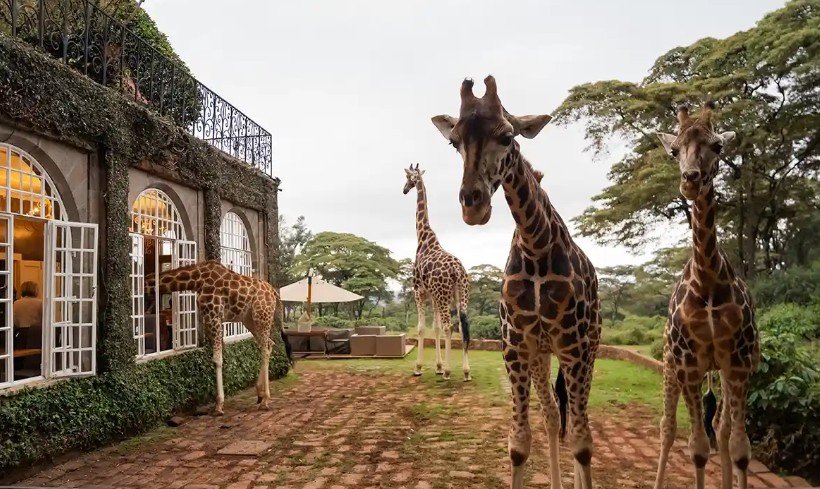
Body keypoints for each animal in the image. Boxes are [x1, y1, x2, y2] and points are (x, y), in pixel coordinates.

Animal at [145, 260, 291, 416]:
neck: (197, 280)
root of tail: (274, 293)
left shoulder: (213, 315)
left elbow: (217, 360)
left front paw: (219, 405)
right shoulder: (209, 317)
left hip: (262, 316)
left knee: (265, 347)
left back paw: (265, 400)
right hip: (249, 319)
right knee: (269, 344)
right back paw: (260, 394)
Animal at [403, 163, 472, 381]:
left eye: (408, 177)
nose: (404, 190)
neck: (423, 238)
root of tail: (457, 271)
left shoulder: (419, 291)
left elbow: (422, 328)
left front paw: (419, 368)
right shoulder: (433, 295)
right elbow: (436, 328)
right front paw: (438, 367)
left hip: (443, 295)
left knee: (450, 326)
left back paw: (450, 371)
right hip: (460, 295)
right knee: (463, 326)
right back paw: (466, 371)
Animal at [431, 76, 600, 489]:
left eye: (508, 136)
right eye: (453, 142)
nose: (473, 206)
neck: (535, 245)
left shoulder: (573, 346)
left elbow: (582, 443)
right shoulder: (517, 345)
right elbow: (519, 444)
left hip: (589, 348)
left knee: (579, 424)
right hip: (543, 354)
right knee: (553, 414)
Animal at [654, 103, 759, 489]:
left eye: (718, 146)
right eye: (673, 150)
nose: (690, 179)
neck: (708, 283)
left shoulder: (739, 363)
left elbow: (739, 446)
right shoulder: (688, 364)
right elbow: (697, 448)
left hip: (727, 369)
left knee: (722, 427)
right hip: (670, 366)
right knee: (668, 428)